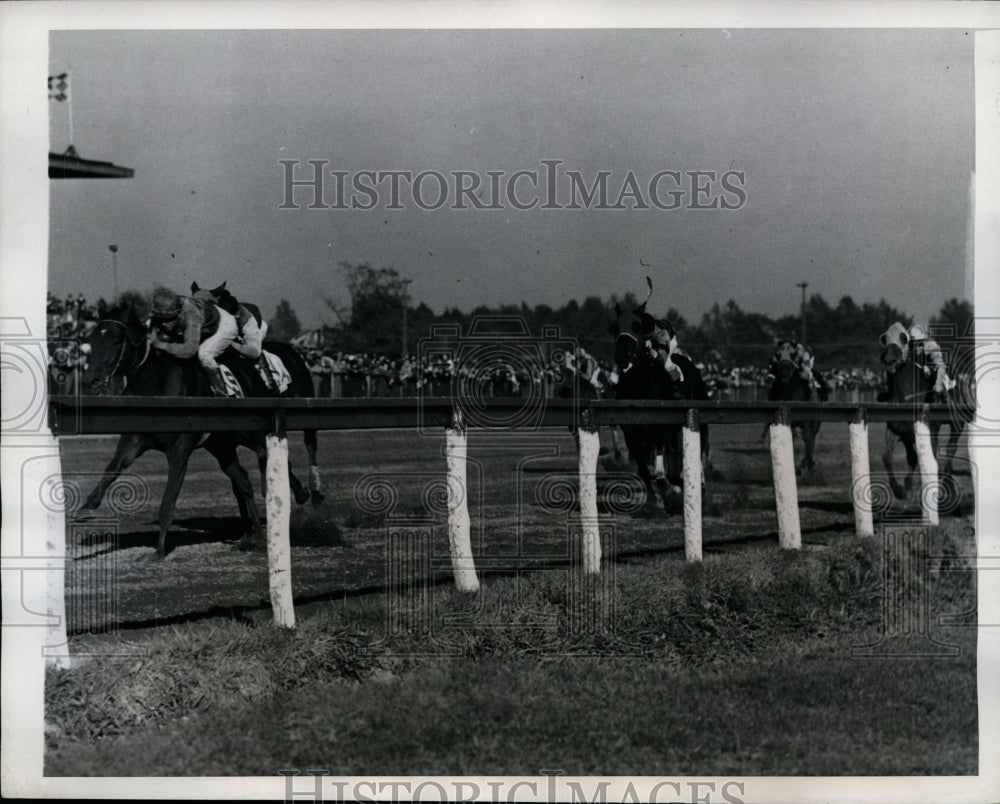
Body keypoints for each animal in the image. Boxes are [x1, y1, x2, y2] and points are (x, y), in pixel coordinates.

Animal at [79, 298, 320, 556]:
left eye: (115, 340)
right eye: (91, 339)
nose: (90, 381)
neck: (159, 381)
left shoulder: (180, 449)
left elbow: (168, 501)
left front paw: (159, 551)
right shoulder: (134, 440)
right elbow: (112, 469)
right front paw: (86, 506)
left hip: (275, 423)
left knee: (297, 450)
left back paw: (308, 495)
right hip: (224, 444)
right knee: (245, 479)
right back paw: (257, 529)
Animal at [608, 284, 712, 508]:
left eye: (636, 327)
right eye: (615, 328)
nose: (622, 356)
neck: (641, 387)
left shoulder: (660, 427)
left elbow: (659, 462)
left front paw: (667, 485)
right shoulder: (632, 433)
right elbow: (643, 469)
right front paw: (656, 497)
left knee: (700, 447)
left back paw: (698, 484)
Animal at [764, 340, 820, 478]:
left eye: (793, 354)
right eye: (778, 354)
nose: (784, 372)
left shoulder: (807, 421)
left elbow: (808, 440)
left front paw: (810, 466)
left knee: (810, 440)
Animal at [880, 322, 964, 500]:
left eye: (903, 339)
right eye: (885, 339)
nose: (889, 360)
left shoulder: (929, 431)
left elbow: (928, 457)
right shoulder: (898, 430)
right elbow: (889, 457)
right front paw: (902, 489)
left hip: (956, 425)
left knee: (951, 448)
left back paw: (947, 484)